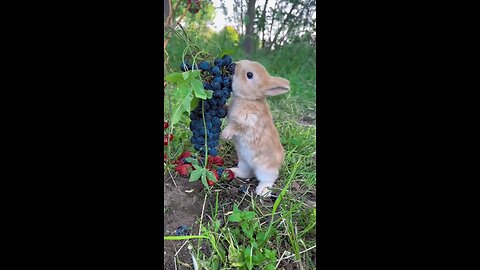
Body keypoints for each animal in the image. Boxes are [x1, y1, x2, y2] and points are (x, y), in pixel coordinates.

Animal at [220, 60, 288, 196]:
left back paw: (262, 191)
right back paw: (233, 171)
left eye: (249, 75)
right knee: (247, 173)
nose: (233, 65)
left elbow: (236, 127)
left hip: (265, 168)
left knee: (269, 178)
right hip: (244, 161)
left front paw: (225, 135)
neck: (249, 99)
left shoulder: (248, 120)